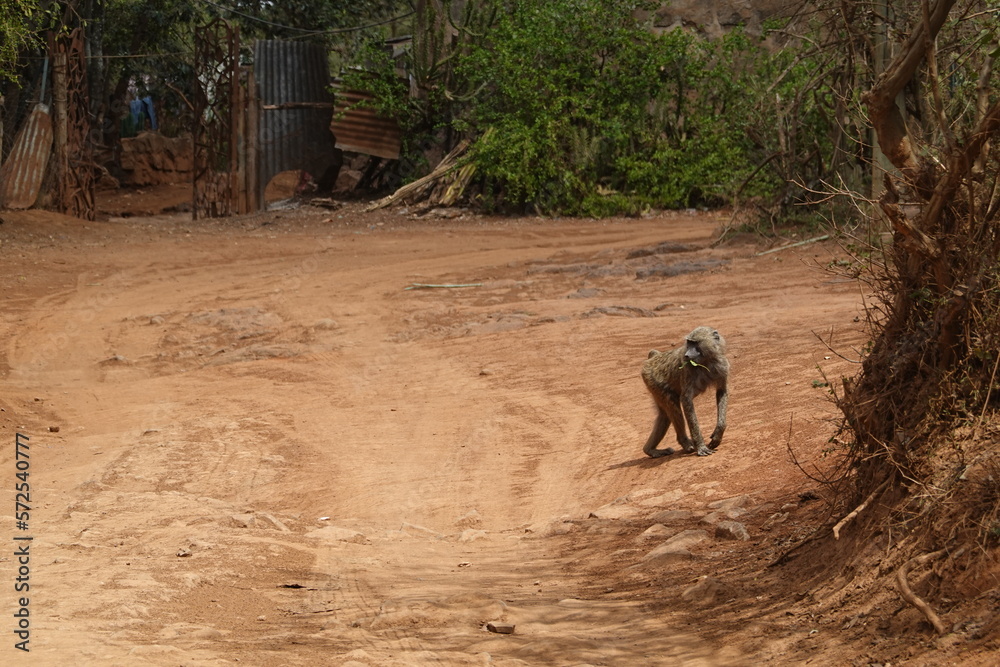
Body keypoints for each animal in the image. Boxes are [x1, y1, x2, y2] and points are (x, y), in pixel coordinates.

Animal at [641, 326, 729, 458]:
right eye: (689, 343)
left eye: (695, 343)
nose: (687, 355)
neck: (706, 361)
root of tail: (654, 358)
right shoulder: (686, 369)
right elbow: (686, 400)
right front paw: (701, 447)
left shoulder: (722, 365)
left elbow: (721, 391)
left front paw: (718, 434)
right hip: (652, 380)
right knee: (673, 406)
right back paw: (685, 443)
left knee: (664, 415)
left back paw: (650, 450)